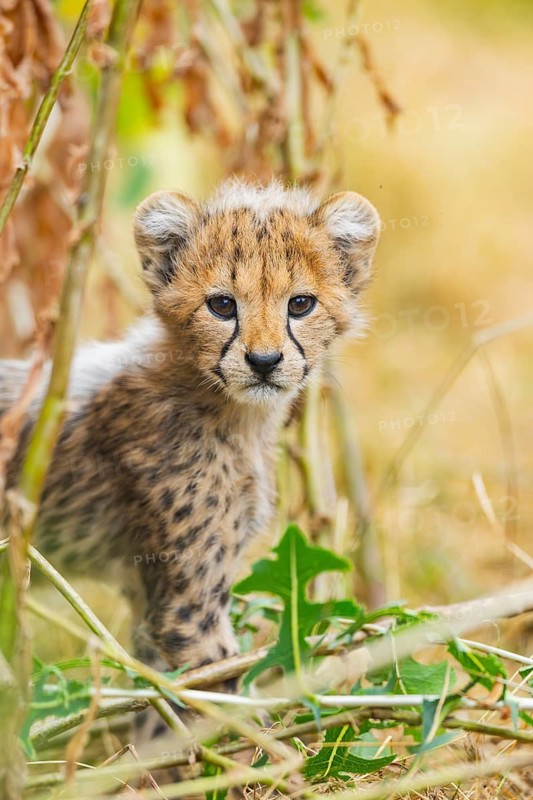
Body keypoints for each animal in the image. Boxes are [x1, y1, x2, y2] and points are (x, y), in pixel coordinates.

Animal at [0, 179, 380, 715]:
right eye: (222, 305)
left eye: (300, 304)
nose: (264, 361)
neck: (233, 414)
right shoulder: (188, 606)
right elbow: (213, 699)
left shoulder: (149, 596)